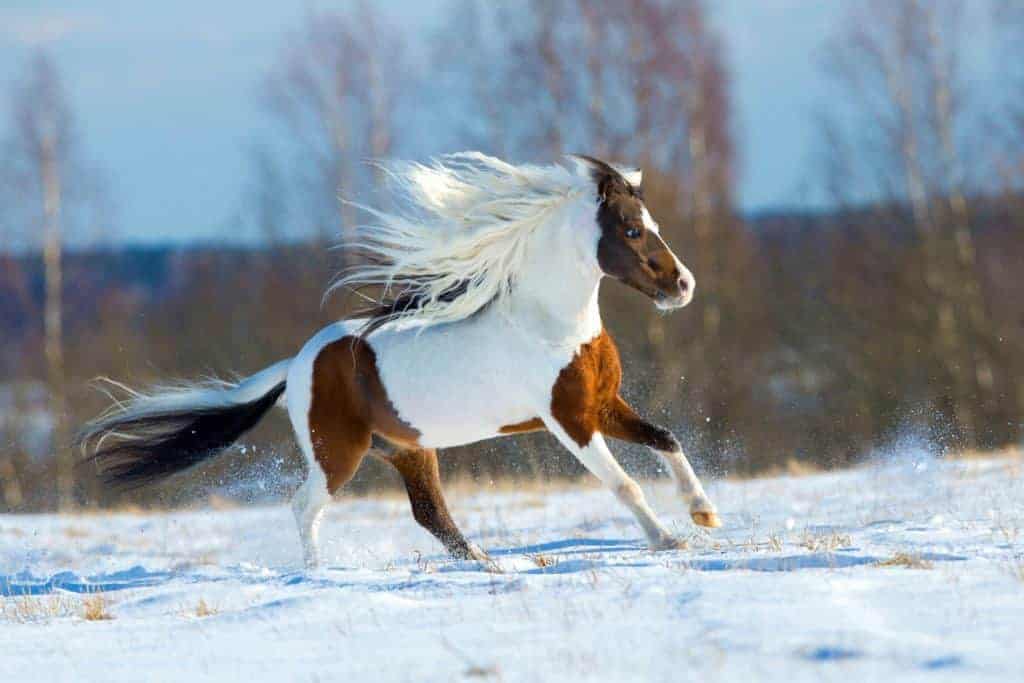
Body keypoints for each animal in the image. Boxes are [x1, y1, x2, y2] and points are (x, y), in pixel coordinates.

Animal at [78, 152, 721, 568]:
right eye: (632, 230)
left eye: (652, 225)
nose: (683, 286)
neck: (551, 323)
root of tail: (297, 364)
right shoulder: (568, 421)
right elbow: (624, 484)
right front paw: (669, 541)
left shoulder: (603, 404)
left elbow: (666, 440)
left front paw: (705, 514)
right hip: (338, 454)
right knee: (305, 506)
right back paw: (317, 573)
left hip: (408, 450)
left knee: (430, 514)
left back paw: (485, 561)